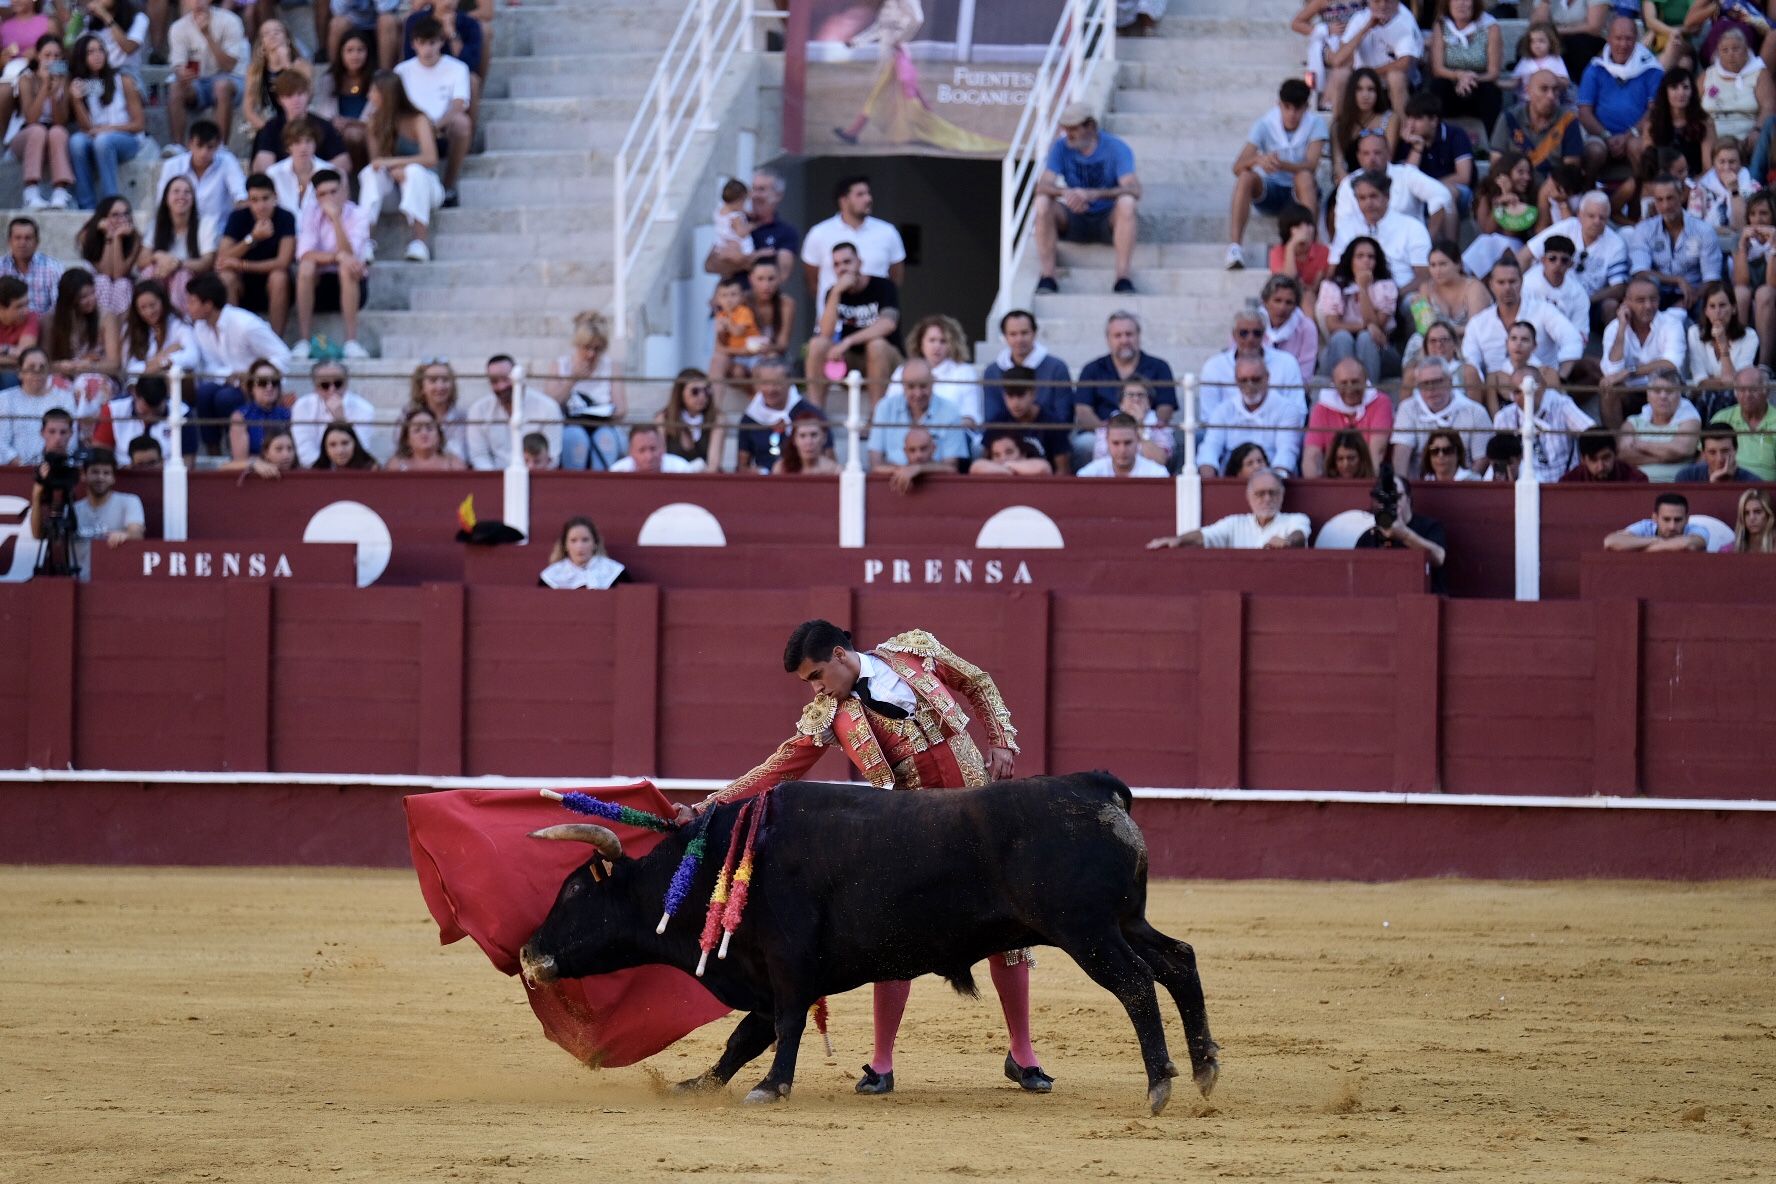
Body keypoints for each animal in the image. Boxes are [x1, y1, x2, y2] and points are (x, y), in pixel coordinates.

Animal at [518, 773, 1221, 1114]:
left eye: (574, 891)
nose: (528, 954)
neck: (723, 859)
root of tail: (1093, 787)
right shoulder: (764, 973)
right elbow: (744, 1036)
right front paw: (697, 1083)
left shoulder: (789, 965)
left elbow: (785, 1027)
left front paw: (772, 1089)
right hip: (1125, 922)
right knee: (1178, 961)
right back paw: (1205, 1068)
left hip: (1087, 931)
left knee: (1135, 983)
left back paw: (1161, 1084)